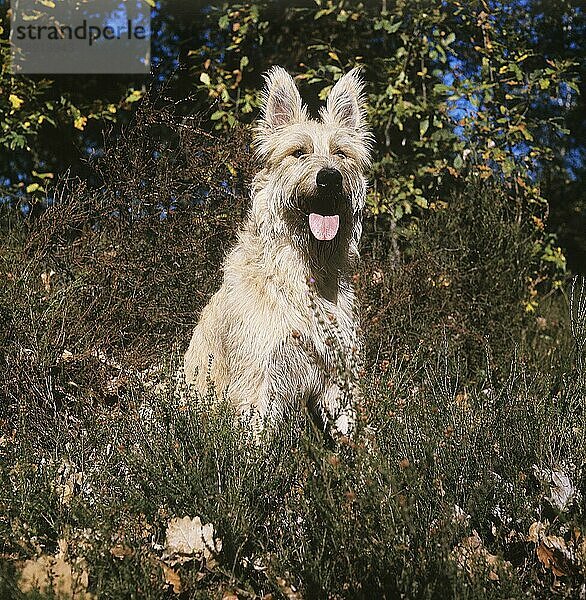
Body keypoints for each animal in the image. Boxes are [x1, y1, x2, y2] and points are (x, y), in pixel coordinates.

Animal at [185, 65, 372, 434]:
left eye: (341, 153)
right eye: (298, 152)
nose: (330, 178)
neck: (306, 268)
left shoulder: (337, 374)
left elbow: (349, 431)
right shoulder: (258, 375)